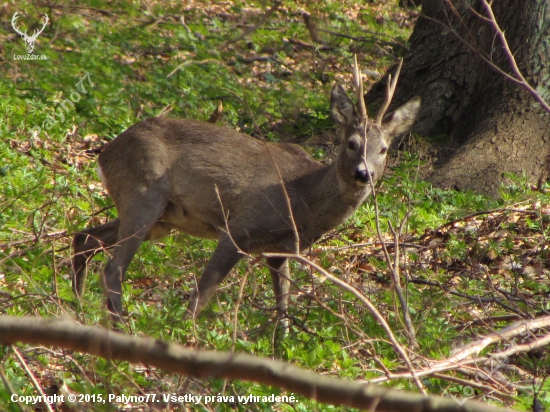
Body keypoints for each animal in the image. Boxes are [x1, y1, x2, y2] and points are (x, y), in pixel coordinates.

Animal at [71, 61, 420, 322]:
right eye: (352, 143)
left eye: (384, 149)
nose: (364, 173)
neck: (302, 199)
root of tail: (104, 155)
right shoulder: (238, 228)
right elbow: (201, 294)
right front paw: (185, 338)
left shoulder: (282, 250)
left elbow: (283, 310)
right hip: (144, 194)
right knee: (113, 269)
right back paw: (120, 329)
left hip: (161, 219)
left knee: (84, 238)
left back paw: (78, 310)